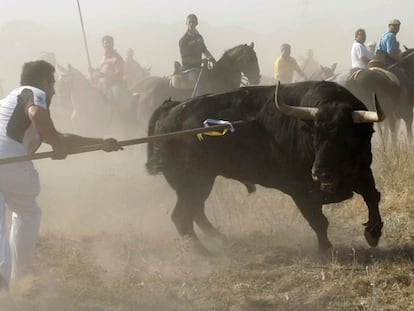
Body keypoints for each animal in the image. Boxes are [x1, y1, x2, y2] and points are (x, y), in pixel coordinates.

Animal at [146, 81, 384, 254]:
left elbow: (373, 196)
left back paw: (219, 239)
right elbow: (318, 221)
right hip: (192, 183)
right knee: (182, 217)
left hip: (200, 183)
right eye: (315, 136)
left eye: (345, 137)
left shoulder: (363, 172)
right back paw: (203, 252)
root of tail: (171, 109)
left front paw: (373, 232)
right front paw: (326, 248)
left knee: (195, 212)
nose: (320, 173)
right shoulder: (299, 191)